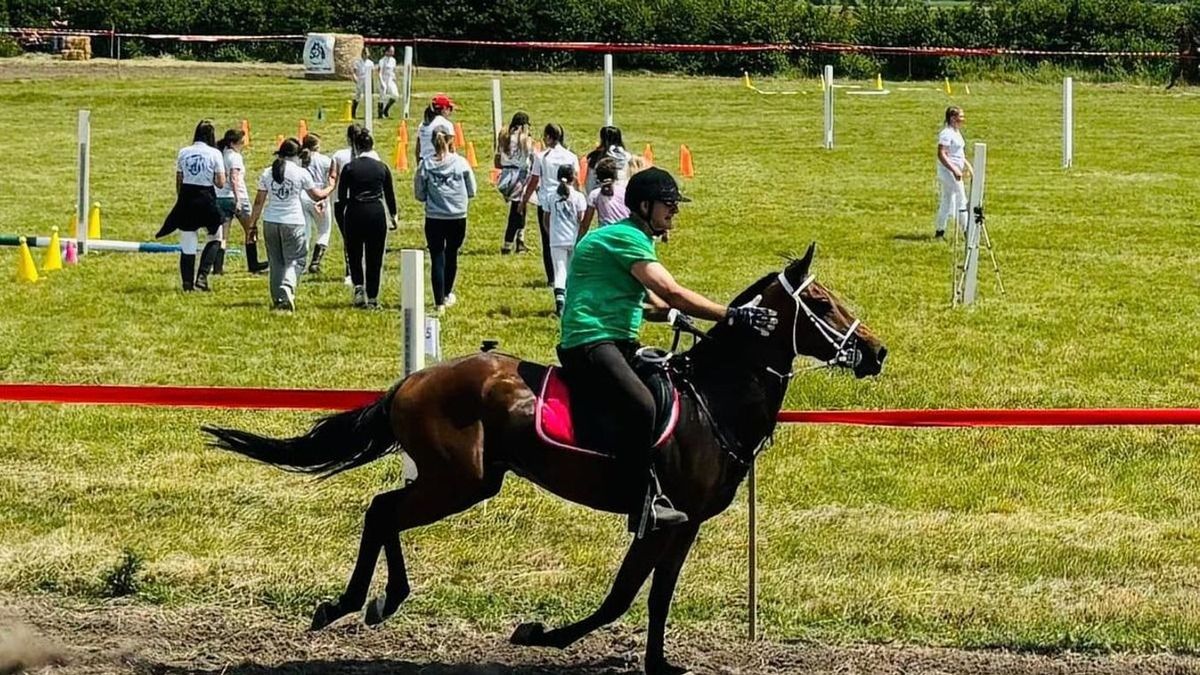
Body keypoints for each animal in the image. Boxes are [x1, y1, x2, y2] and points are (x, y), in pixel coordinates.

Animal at [204, 242, 883, 672]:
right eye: (822, 303)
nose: (875, 352)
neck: (709, 400)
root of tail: (414, 381)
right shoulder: (661, 517)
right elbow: (621, 596)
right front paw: (541, 634)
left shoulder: (684, 524)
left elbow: (652, 595)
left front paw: (658, 663)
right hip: (460, 482)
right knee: (381, 510)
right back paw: (355, 603)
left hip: (462, 481)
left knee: (385, 510)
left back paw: (374, 602)